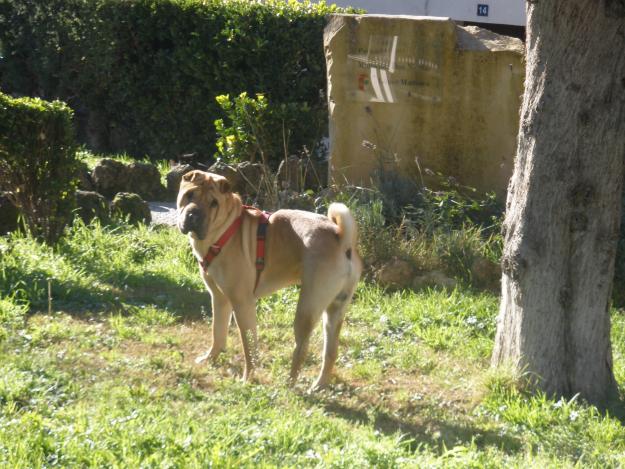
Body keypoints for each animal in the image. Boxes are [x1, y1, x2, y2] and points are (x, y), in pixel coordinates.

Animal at [176, 170, 360, 390]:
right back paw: (319, 386)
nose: (193, 215)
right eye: (190, 195)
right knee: (331, 352)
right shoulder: (220, 299)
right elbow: (217, 332)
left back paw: (289, 385)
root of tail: (342, 238)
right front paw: (210, 358)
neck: (224, 229)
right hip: (334, 311)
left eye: (214, 203)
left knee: (302, 349)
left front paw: (248, 378)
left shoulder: (242, 303)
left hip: (307, 308)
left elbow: (249, 347)